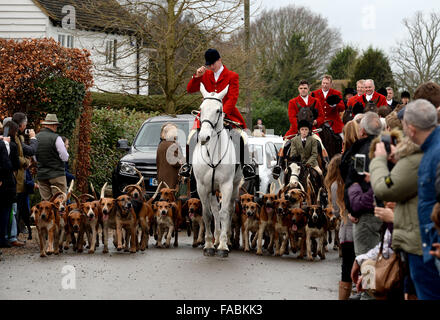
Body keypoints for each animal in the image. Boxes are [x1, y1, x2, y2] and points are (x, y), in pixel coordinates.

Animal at [192, 83, 242, 258]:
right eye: (201, 108)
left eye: (218, 110)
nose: (204, 137)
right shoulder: (202, 187)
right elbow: (207, 214)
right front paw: (208, 245)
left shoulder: (226, 185)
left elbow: (224, 212)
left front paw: (223, 246)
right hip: (212, 189)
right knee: (214, 210)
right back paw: (216, 239)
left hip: (234, 186)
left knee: (229, 209)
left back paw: (226, 240)